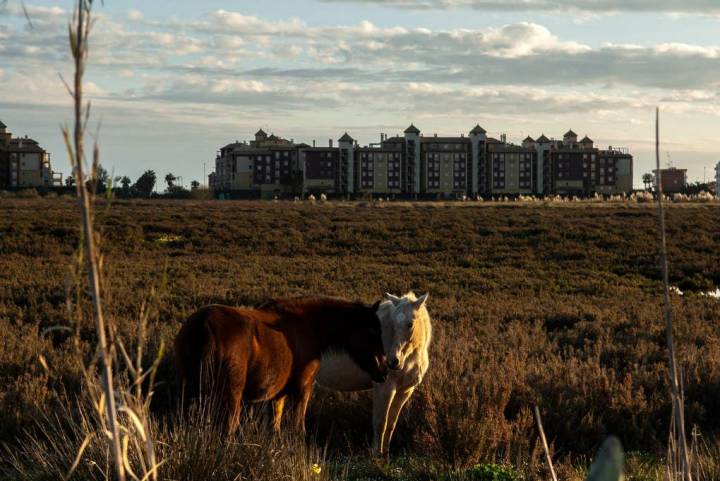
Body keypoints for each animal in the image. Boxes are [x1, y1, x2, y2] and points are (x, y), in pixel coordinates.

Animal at [174, 294, 388, 434]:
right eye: (373, 332)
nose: (384, 371)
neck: (308, 326)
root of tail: (203, 324)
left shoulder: (277, 396)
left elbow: (274, 426)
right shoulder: (303, 389)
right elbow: (298, 427)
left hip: (190, 395)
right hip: (230, 398)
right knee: (228, 430)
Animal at [314, 290, 428, 452]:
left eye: (410, 324)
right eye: (393, 324)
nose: (393, 361)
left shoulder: (405, 391)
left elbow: (391, 424)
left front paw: (385, 453)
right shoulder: (384, 388)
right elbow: (380, 424)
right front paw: (376, 454)